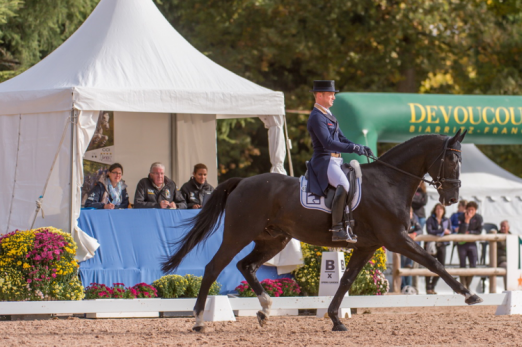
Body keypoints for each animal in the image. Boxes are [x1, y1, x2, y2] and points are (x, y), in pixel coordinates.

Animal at [161, 130, 480, 332]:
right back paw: (199, 320)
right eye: (451, 160)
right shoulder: (396, 239)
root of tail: (242, 182)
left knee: (245, 265)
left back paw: (265, 308)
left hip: (274, 239)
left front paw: (336, 320)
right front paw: (469, 295)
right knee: (214, 267)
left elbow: (346, 280)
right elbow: (434, 262)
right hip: (238, 234)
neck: (390, 181)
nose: (452, 198)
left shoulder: (367, 246)